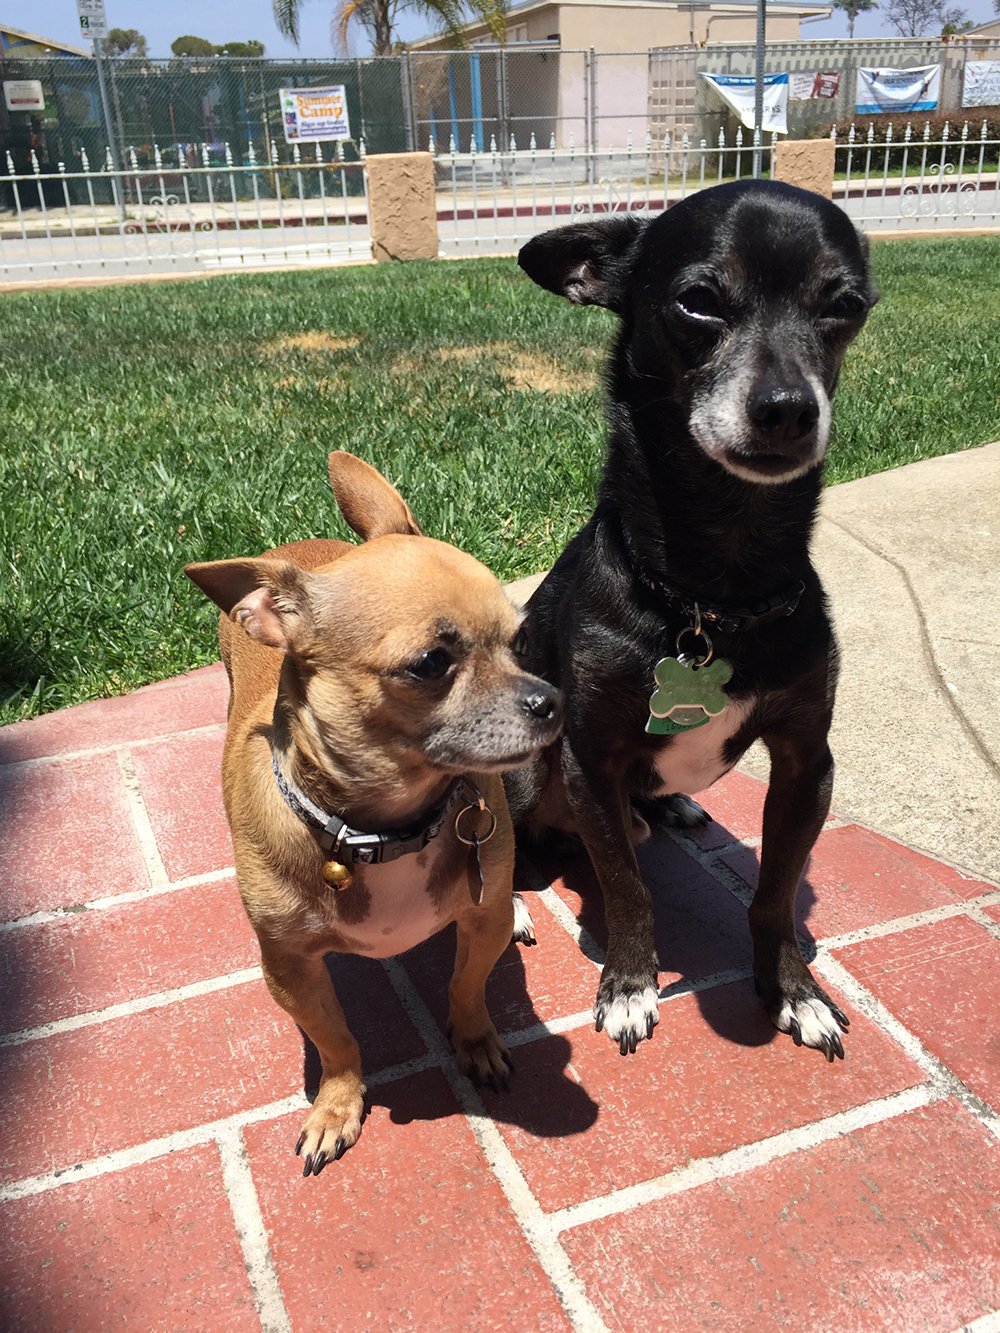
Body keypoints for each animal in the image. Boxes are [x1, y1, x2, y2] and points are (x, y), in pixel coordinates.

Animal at [509, 182, 874, 1061]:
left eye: (845, 305)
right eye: (699, 301)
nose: (788, 408)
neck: (714, 596)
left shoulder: (807, 761)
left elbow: (775, 892)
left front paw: (793, 990)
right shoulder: (589, 760)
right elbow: (626, 888)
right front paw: (630, 985)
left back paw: (670, 805)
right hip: (524, 767)